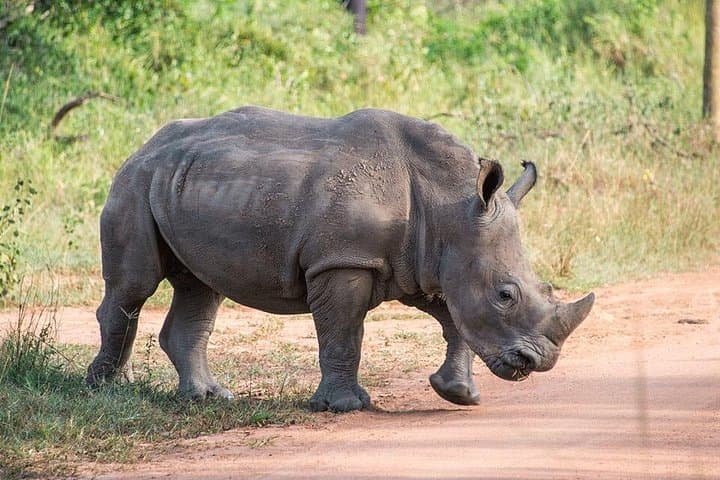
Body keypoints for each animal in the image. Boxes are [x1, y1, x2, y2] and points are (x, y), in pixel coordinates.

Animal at [87, 106, 594, 412]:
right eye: (506, 295)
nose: (538, 362)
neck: (449, 204)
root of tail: (145, 145)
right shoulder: (344, 259)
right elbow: (344, 332)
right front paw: (347, 406)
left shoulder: (428, 260)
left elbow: (457, 323)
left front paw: (458, 395)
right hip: (136, 181)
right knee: (135, 286)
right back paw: (106, 388)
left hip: (190, 183)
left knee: (200, 288)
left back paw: (211, 398)